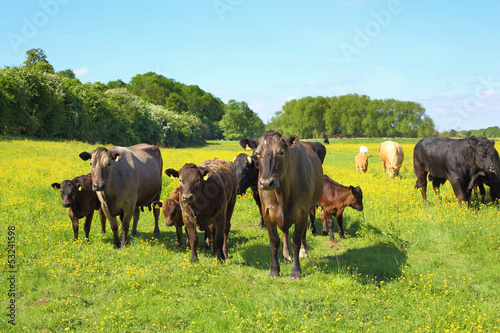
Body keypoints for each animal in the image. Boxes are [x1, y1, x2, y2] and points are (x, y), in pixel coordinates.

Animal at [239, 130, 324, 278]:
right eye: (258, 153)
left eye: (281, 152)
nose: (266, 183)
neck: (282, 193)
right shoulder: (267, 212)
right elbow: (274, 241)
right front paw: (274, 270)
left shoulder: (302, 212)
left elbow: (296, 240)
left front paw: (296, 271)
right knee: (285, 232)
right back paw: (286, 254)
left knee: (303, 233)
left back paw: (303, 251)